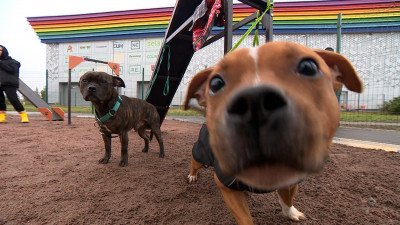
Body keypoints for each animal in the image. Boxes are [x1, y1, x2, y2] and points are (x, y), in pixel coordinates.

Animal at [184, 41, 362, 224]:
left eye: (308, 67)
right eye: (216, 83)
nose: (255, 101)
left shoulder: (292, 179)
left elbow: (287, 197)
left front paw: (290, 212)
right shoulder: (226, 185)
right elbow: (245, 218)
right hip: (202, 153)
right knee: (194, 160)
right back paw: (192, 175)